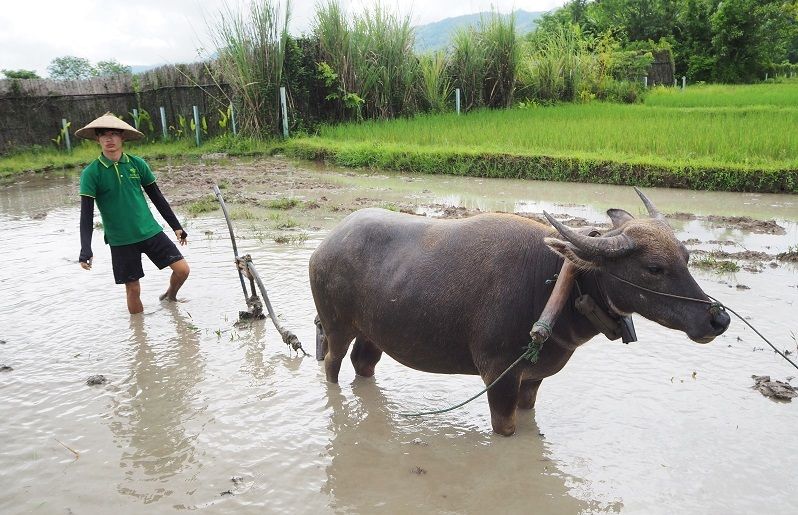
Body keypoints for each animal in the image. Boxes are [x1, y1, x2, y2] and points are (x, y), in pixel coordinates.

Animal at [310, 189, 736, 436]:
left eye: (686, 257)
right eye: (654, 268)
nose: (717, 318)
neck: (554, 283)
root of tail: (325, 245)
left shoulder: (532, 380)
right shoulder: (498, 375)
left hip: (374, 333)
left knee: (364, 364)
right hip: (336, 327)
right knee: (332, 364)